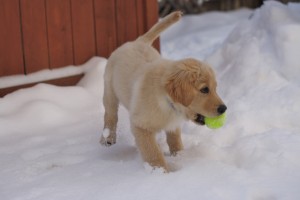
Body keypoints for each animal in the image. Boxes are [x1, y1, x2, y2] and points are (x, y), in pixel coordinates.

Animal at [100, 11, 225, 172]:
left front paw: (179, 156)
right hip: (110, 91)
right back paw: (107, 138)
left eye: (215, 88)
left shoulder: (173, 124)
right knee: (110, 115)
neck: (167, 101)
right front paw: (161, 171)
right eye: (204, 89)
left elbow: (174, 139)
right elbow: (152, 151)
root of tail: (137, 42)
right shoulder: (141, 125)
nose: (224, 108)